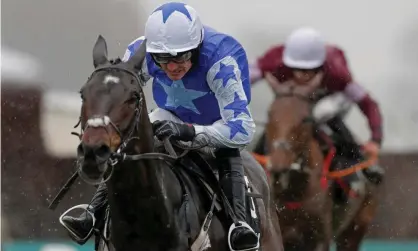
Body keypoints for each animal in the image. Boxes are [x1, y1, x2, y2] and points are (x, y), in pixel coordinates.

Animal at [264, 73, 378, 251]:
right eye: (269, 114)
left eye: (305, 119)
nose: (278, 165)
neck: (295, 193)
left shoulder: (319, 238)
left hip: (356, 228)